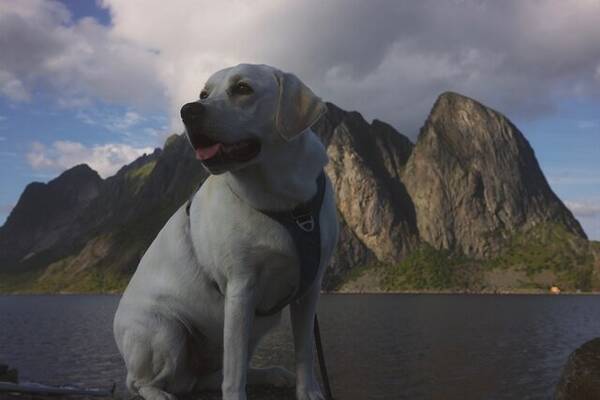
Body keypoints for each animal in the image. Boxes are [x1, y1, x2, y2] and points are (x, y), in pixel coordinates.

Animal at [112, 63, 338, 400]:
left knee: (207, 378)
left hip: (255, 329)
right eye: (204, 93)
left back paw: (270, 373)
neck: (282, 199)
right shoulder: (241, 288)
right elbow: (233, 373)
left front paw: (308, 390)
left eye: (243, 88)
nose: (188, 110)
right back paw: (159, 394)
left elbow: (305, 351)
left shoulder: (310, 288)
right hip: (165, 332)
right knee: (139, 382)